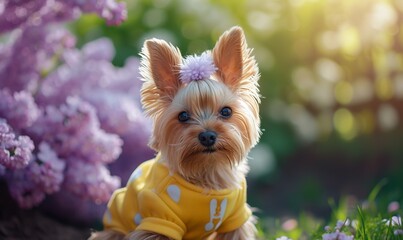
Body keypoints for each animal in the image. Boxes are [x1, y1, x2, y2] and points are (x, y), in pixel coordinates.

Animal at [91, 26, 262, 240]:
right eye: (183, 116)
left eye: (226, 111)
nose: (207, 136)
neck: (206, 175)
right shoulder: (159, 217)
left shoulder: (236, 217)